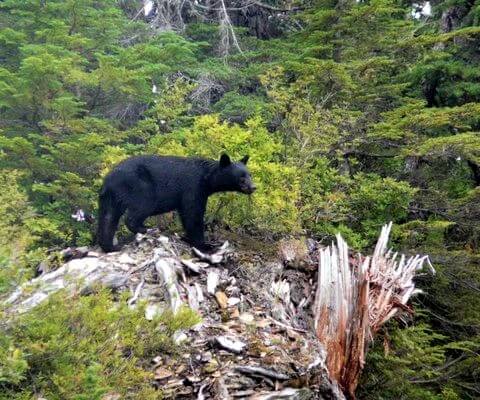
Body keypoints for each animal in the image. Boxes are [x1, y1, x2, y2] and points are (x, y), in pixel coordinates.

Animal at [95, 154, 256, 252]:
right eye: (242, 178)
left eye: (250, 175)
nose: (253, 187)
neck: (206, 178)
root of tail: (107, 181)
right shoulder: (193, 187)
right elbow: (193, 214)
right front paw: (205, 245)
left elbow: (186, 214)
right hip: (140, 186)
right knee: (141, 207)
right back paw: (146, 228)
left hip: (110, 198)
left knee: (107, 218)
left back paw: (110, 246)